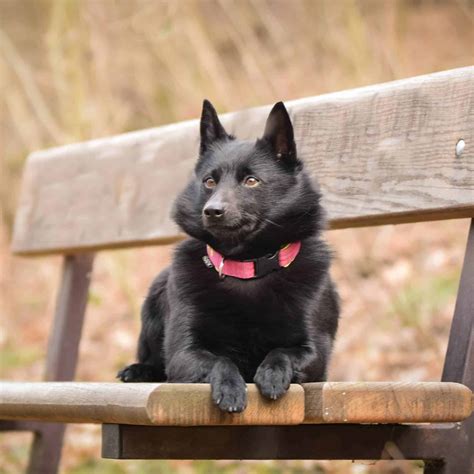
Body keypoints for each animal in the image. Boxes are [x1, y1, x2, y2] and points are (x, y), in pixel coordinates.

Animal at [118, 100, 340, 412]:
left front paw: (271, 373)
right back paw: (139, 370)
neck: (247, 265)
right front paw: (230, 386)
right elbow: (219, 360)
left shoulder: (314, 353)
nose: (212, 211)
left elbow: (283, 352)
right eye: (210, 181)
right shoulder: (184, 353)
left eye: (251, 181)